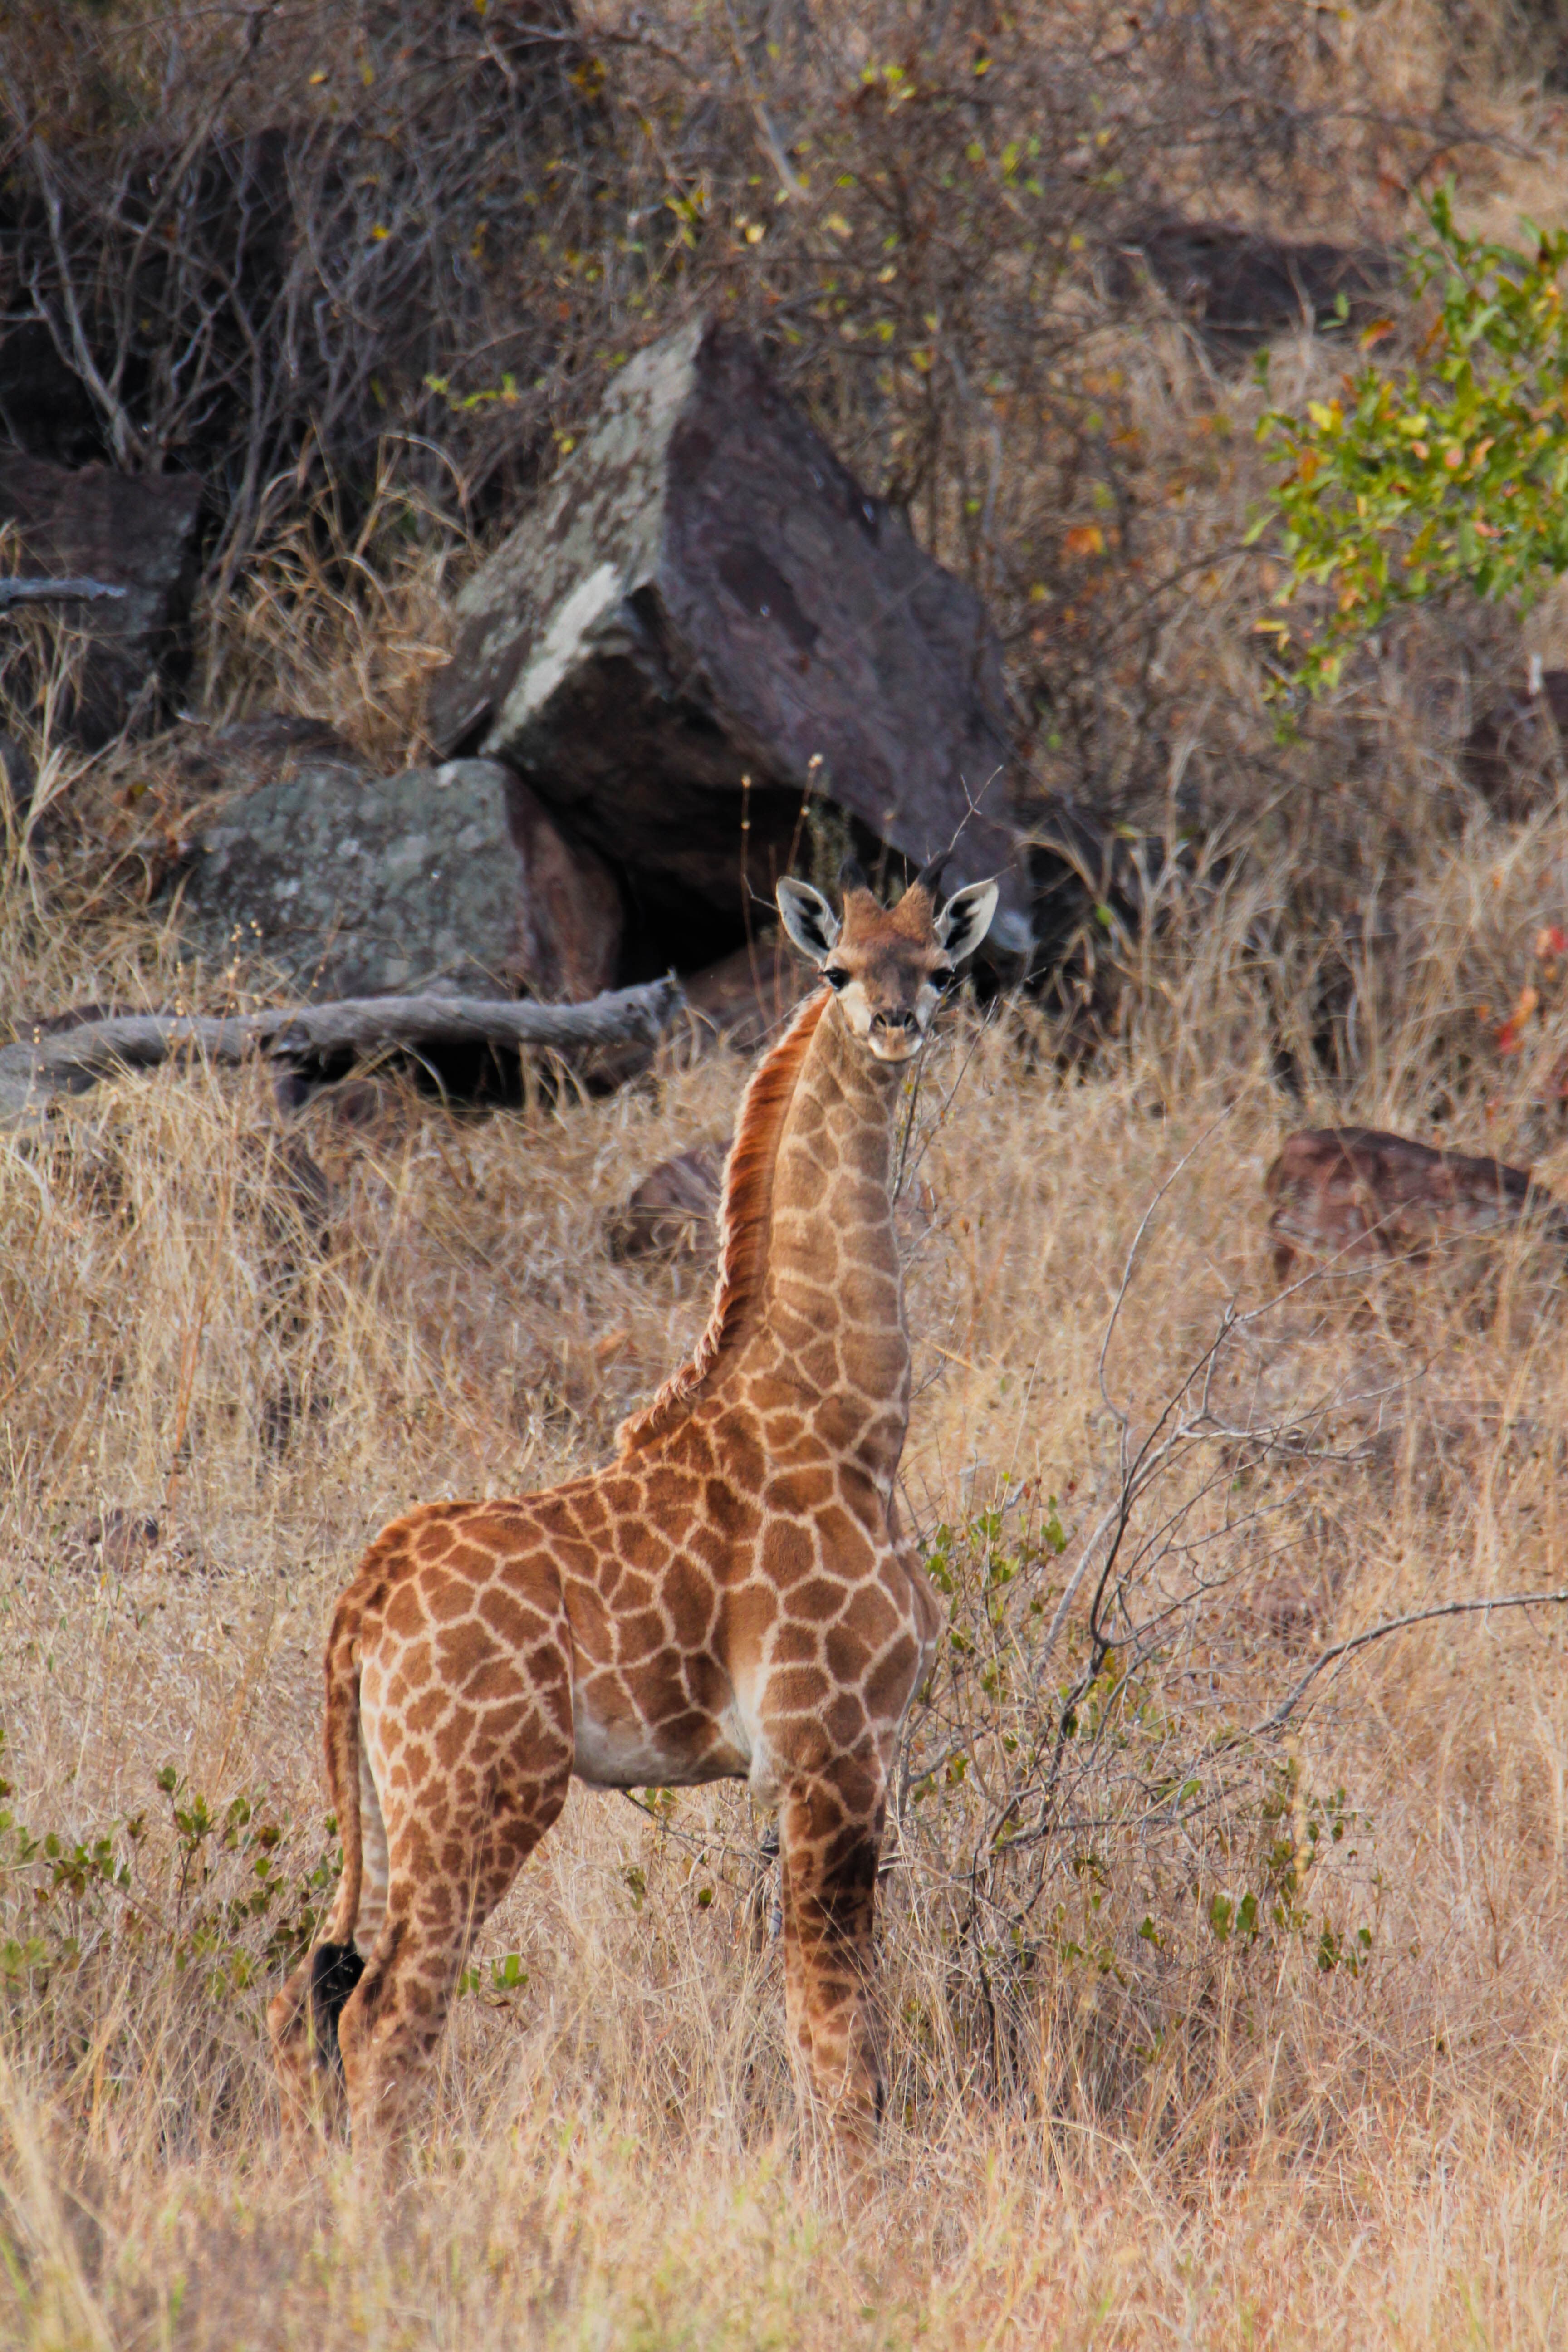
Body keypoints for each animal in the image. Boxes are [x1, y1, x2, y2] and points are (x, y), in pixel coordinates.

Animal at [268, 859, 999, 2146]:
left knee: (303, 1993)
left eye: (941, 968)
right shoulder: (832, 1748)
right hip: (481, 1790)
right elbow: (840, 2042)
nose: (893, 1025)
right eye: (834, 968)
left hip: (390, 1797)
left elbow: (823, 2027)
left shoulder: (832, 1760)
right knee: (384, 2016)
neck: (855, 1424)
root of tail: (364, 1604)